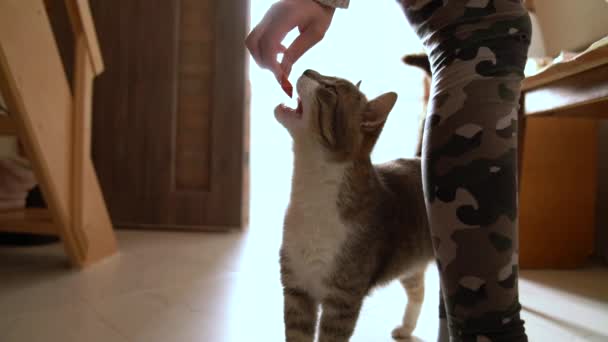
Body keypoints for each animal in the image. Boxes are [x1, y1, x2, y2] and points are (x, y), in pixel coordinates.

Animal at [276, 70, 436, 342]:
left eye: (330, 88)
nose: (307, 70)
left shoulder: (342, 301)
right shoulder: (297, 289)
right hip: (408, 262)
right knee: (418, 289)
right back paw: (406, 328)